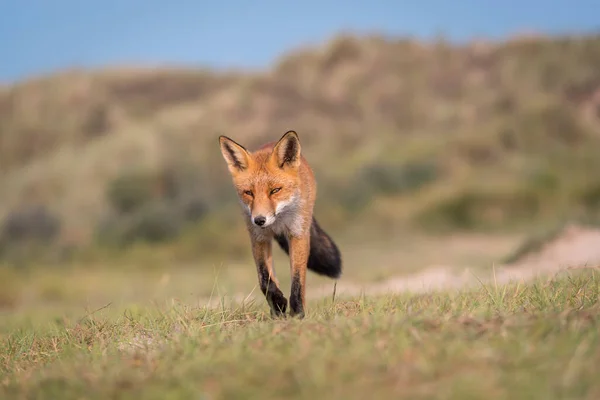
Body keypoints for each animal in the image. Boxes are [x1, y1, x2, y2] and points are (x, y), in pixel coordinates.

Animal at [219, 131, 342, 318]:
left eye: (275, 190)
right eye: (249, 193)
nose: (259, 220)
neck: (278, 222)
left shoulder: (298, 235)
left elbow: (297, 281)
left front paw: (297, 313)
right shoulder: (258, 238)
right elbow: (264, 279)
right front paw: (278, 303)